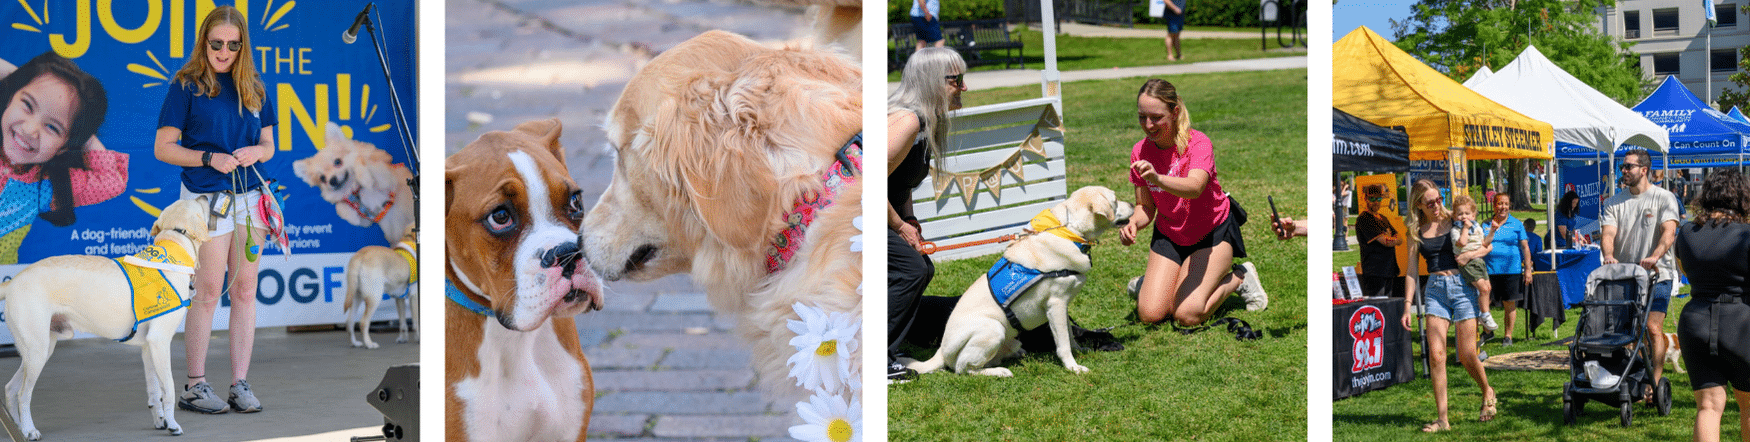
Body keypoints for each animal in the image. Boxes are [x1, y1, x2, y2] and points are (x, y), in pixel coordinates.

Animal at [0, 198, 210, 440]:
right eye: (197, 203)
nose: (205, 197)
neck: (172, 254)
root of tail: (13, 280)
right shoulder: (160, 341)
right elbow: (168, 389)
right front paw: (173, 424)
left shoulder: (148, 348)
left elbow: (154, 391)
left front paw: (160, 420)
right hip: (37, 351)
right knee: (23, 394)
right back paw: (29, 430)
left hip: (39, 350)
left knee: (10, 388)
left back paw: (18, 429)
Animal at [903, 186, 1134, 375]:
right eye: (1115, 199)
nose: (1133, 204)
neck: (1069, 231)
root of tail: (941, 351)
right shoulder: (1056, 304)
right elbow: (1063, 344)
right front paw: (1073, 367)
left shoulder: (1063, 306)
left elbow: (1070, 335)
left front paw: (1080, 351)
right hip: (993, 329)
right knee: (962, 368)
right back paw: (999, 372)